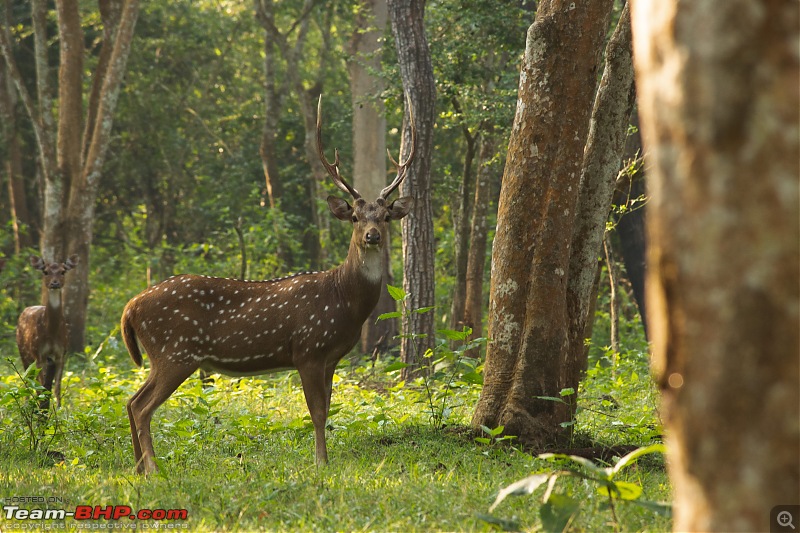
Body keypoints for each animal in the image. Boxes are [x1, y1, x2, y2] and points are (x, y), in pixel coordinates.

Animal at [16, 254, 79, 408]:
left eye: (63, 271)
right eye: (45, 271)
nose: (55, 283)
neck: (51, 333)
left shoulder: (61, 353)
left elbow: (57, 388)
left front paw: (60, 409)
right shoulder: (38, 353)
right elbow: (40, 387)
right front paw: (41, 407)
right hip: (23, 352)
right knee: (27, 379)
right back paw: (26, 404)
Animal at [122, 95, 418, 474]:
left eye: (383, 217)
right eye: (354, 217)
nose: (372, 236)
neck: (345, 302)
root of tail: (130, 306)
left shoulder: (332, 357)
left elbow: (328, 410)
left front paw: (325, 459)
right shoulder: (308, 348)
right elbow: (316, 412)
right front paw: (320, 462)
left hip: (164, 355)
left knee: (131, 400)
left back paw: (137, 467)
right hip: (175, 351)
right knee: (142, 406)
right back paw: (153, 469)